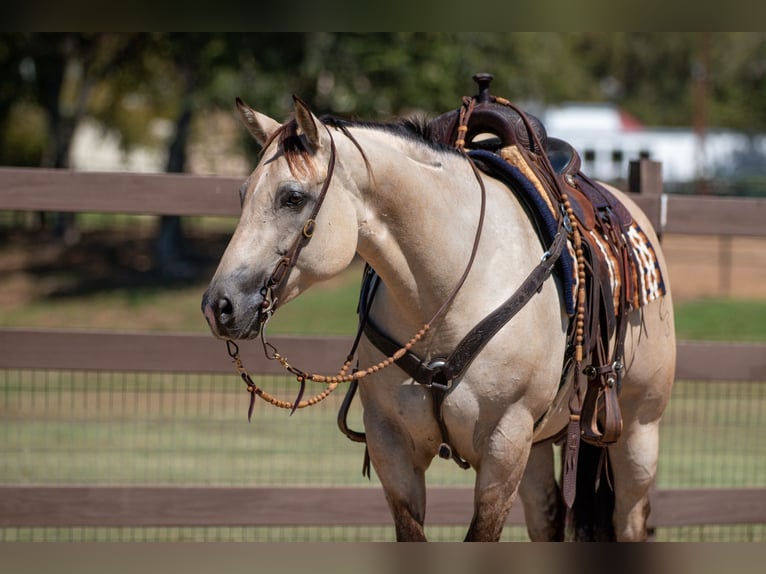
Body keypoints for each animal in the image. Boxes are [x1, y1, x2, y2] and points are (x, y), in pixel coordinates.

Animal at [201, 74, 676, 544]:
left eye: (293, 197)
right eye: (243, 194)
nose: (219, 305)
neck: (446, 292)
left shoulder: (504, 445)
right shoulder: (392, 444)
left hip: (638, 430)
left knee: (630, 519)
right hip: (540, 445)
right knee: (547, 518)